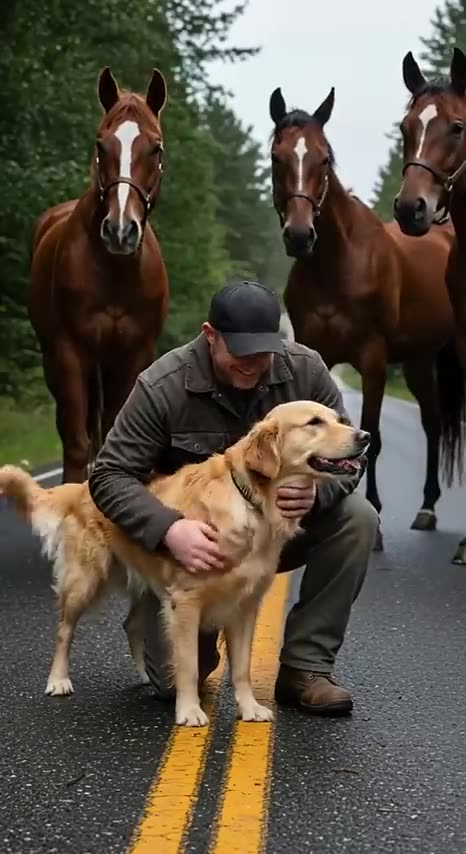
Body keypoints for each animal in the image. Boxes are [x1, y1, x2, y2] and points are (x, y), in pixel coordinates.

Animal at [29, 66, 169, 484]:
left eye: (155, 148)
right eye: (101, 143)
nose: (120, 231)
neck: (115, 275)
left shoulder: (134, 353)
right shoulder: (69, 353)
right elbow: (76, 443)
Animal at [268, 84, 459, 550]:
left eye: (324, 158)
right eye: (277, 157)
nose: (299, 235)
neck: (336, 266)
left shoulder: (372, 361)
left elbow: (371, 438)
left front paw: (373, 518)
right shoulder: (317, 350)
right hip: (418, 359)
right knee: (431, 421)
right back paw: (427, 507)